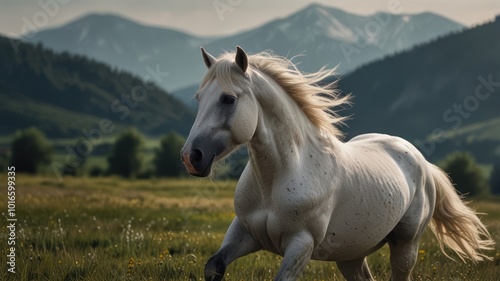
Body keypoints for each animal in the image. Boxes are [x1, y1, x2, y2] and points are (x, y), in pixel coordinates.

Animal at [180, 47, 492, 278]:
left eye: (228, 99)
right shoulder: (244, 232)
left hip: (405, 246)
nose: (191, 157)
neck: (279, 177)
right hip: (351, 254)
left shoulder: (300, 245)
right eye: (199, 98)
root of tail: (423, 163)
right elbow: (213, 266)